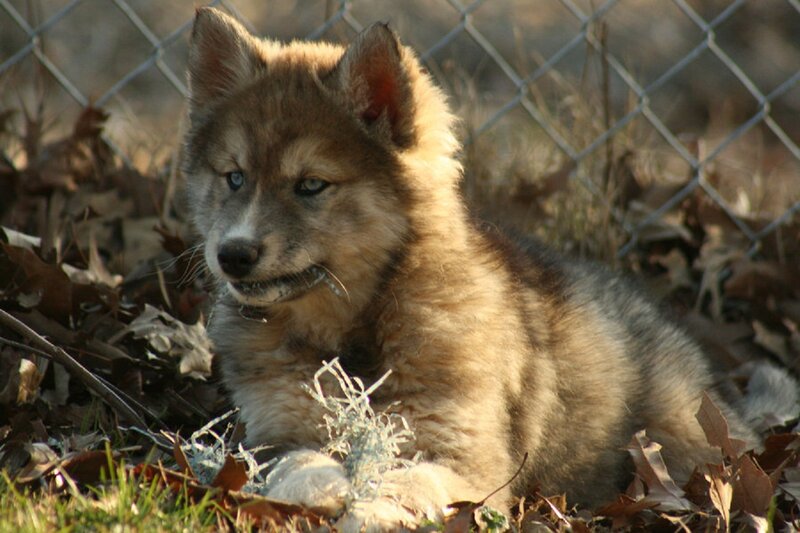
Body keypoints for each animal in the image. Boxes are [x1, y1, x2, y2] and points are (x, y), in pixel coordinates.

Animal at [182, 7, 789, 529]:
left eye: (311, 185)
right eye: (234, 177)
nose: (232, 255)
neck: (356, 330)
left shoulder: (467, 459)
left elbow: (408, 484)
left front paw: (368, 511)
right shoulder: (272, 431)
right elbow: (298, 460)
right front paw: (317, 489)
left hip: (682, 439)